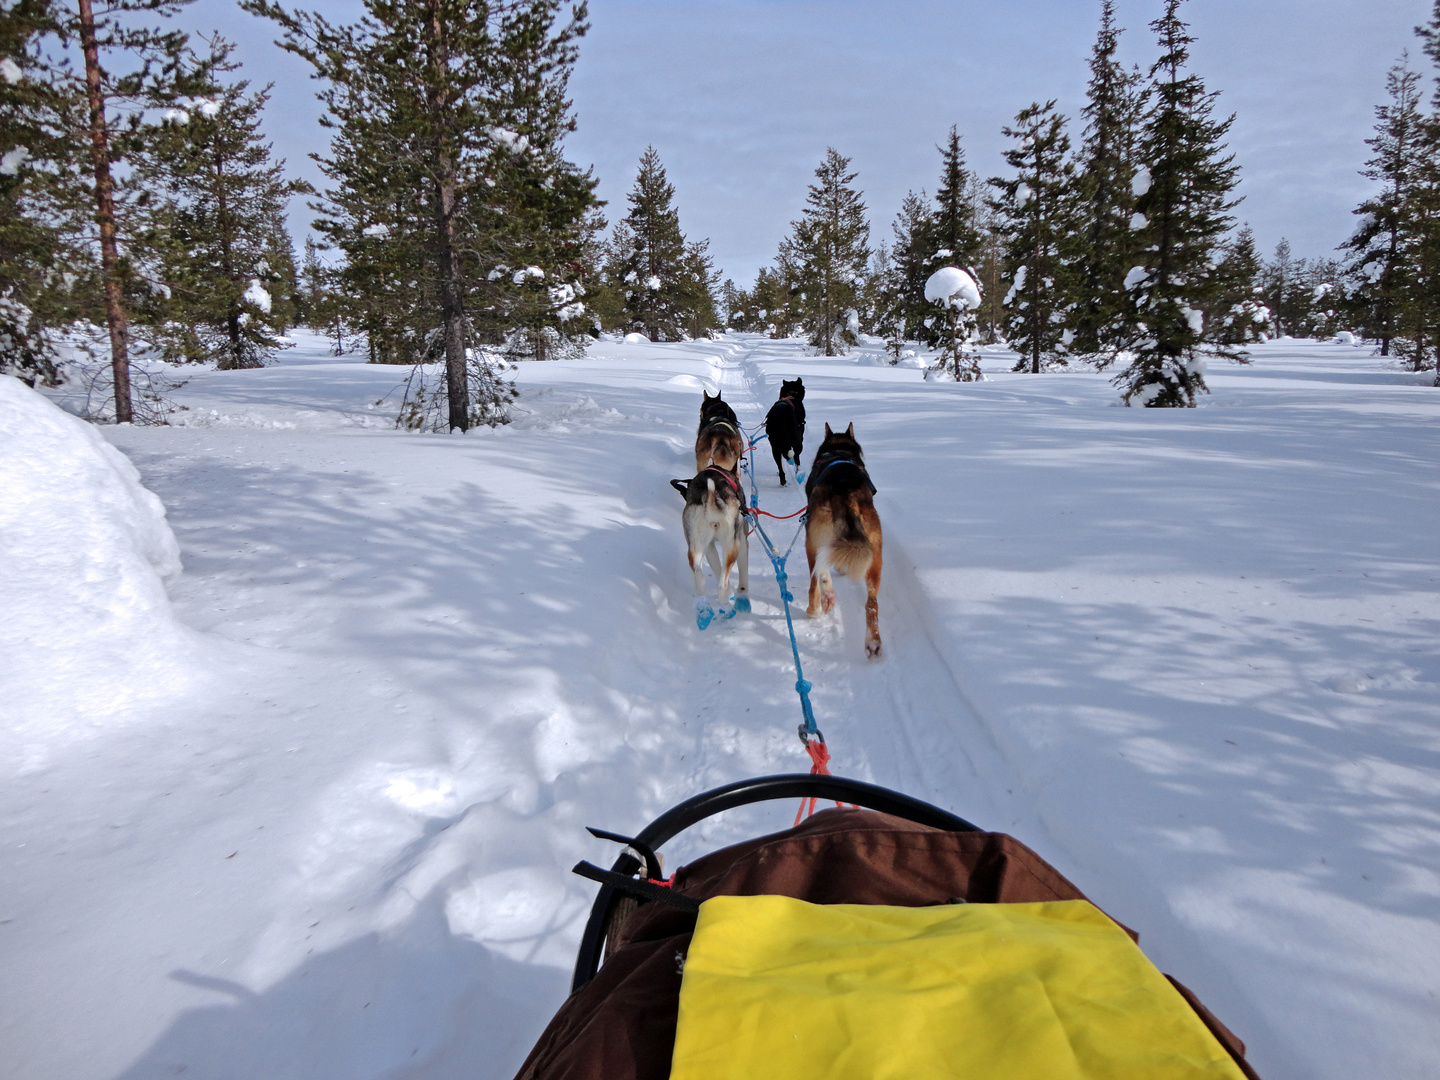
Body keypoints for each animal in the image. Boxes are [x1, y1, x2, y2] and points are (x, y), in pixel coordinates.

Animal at [668, 463, 748, 624]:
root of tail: (709, 497)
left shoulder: (710, 547)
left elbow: (717, 568)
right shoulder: (742, 540)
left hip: (695, 547)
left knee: (699, 577)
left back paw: (704, 610)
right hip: (732, 546)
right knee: (721, 584)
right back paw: (726, 607)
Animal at [806, 423, 881, 659]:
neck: (839, 451)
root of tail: (844, 490)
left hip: (811, 541)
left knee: (816, 578)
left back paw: (818, 605)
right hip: (874, 555)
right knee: (871, 604)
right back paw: (873, 642)